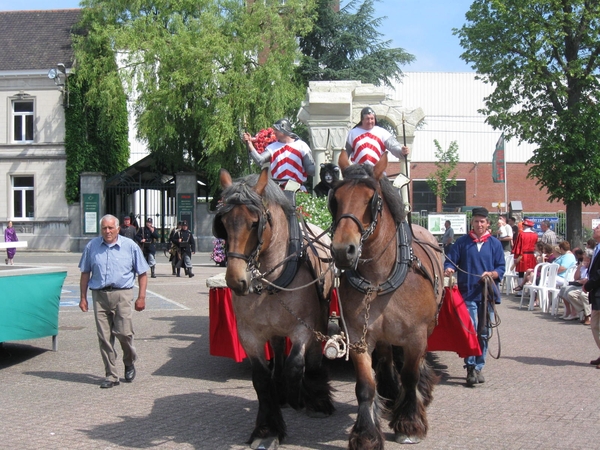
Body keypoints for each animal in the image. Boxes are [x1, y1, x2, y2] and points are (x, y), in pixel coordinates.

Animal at [211, 167, 336, 448]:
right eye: (223, 223)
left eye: (254, 223)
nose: (236, 280)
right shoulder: (249, 334)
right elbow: (261, 377)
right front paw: (267, 428)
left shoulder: (303, 327)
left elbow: (295, 365)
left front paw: (299, 397)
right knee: (278, 350)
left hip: (321, 313)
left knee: (312, 353)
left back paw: (315, 395)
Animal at [328, 153, 446, 448]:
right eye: (335, 199)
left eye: (372, 199)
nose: (342, 250)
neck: (380, 279)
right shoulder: (358, 336)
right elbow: (365, 386)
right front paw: (366, 434)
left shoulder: (416, 336)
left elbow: (410, 374)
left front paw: (410, 423)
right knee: (385, 357)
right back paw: (391, 393)